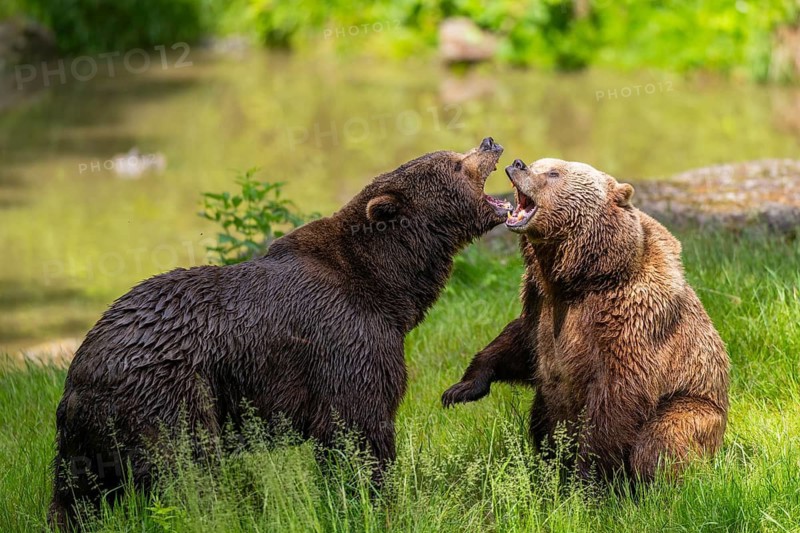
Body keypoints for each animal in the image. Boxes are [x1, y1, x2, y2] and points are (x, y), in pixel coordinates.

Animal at [49, 138, 511, 529]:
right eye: (455, 162)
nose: (490, 142)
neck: (388, 288)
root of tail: (81, 374)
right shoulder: (344, 338)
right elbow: (360, 423)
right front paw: (374, 498)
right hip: (170, 397)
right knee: (189, 469)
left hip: (83, 439)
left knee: (76, 492)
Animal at [442, 157, 730, 483]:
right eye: (539, 163)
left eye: (553, 172)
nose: (518, 164)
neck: (580, 277)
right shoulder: (538, 302)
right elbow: (518, 344)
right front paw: (461, 388)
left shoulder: (630, 316)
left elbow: (617, 398)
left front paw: (588, 478)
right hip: (547, 404)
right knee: (541, 423)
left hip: (693, 405)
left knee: (662, 439)